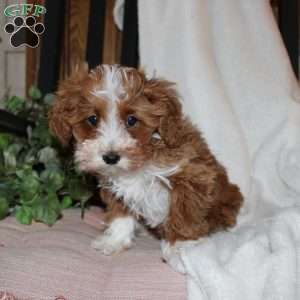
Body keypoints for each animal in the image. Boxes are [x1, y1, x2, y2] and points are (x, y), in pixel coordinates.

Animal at [48, 62, 241, 262]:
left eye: (131, 120)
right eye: (92, 119)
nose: (111, 157)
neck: (141, 161)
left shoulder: (194, 174)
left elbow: (184, 212)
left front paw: (180, 247)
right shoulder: (115, 185)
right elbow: (121, 214)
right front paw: (115, 240)